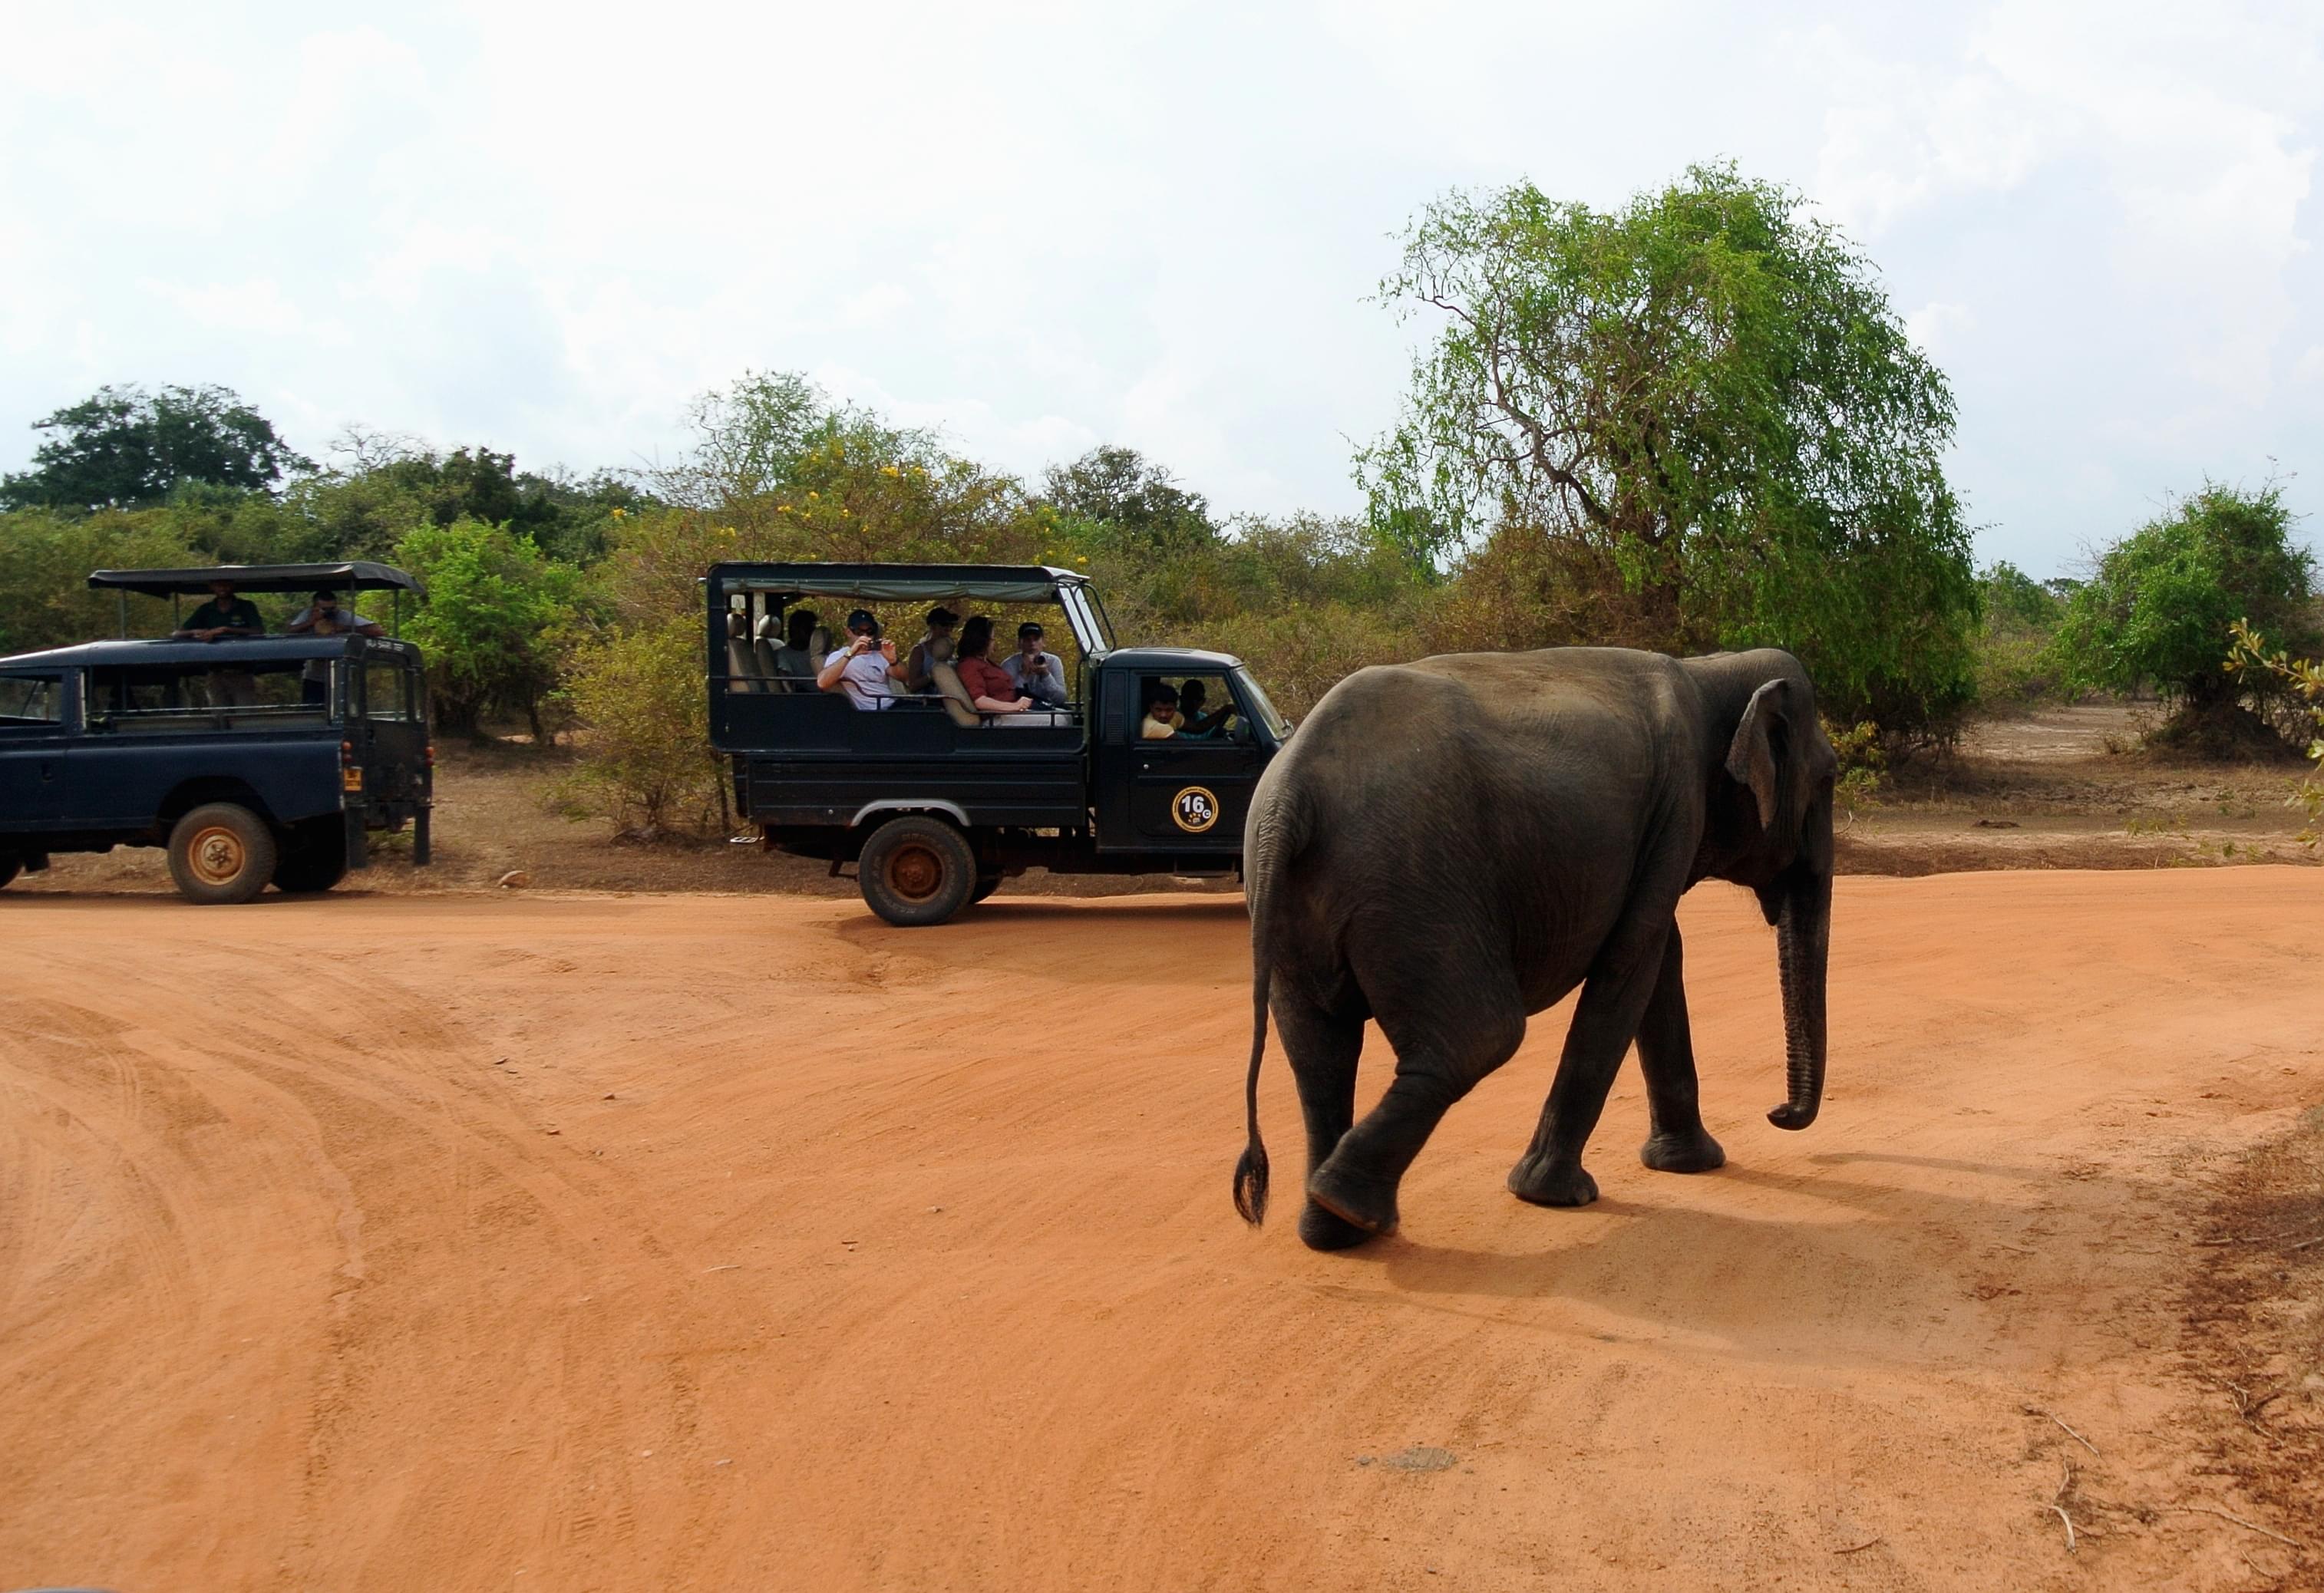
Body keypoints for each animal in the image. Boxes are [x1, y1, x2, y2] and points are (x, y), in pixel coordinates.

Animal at [1236, 645, 1831, 1245]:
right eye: (1827, 781)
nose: (1778, 1113)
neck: (1710, 670)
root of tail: (1290, 795)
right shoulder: (1678, 807)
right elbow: (1633, 961)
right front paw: (1556, 1196)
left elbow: (1659, 955)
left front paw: (1688, 1165)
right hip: (1416, 886)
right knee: (1480, 1038)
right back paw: (1349, 1207)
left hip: (1306, 903)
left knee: (1319, 1052)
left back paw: (1333, 1230)